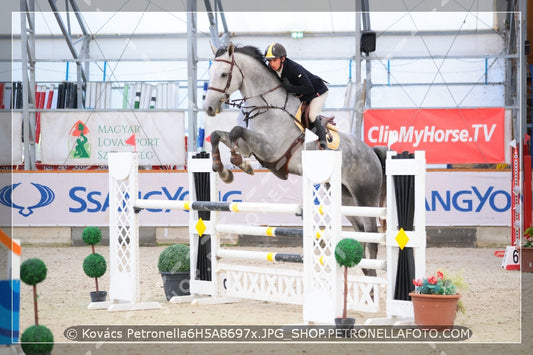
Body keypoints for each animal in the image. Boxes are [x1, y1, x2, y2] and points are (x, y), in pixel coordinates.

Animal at [202, 44, 384, 276]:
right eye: (210, 73)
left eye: (224, 74)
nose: (208, 108)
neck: (268, 107)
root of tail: (372, 152)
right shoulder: (251, 147)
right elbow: (219, 134)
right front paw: (224, 170)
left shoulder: (270, 149)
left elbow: (235, 131)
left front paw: (236, 163)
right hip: (344, 197)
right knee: (360, 231)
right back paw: (364, 272)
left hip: (365, 196)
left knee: (372, 235)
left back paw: (372, 276)